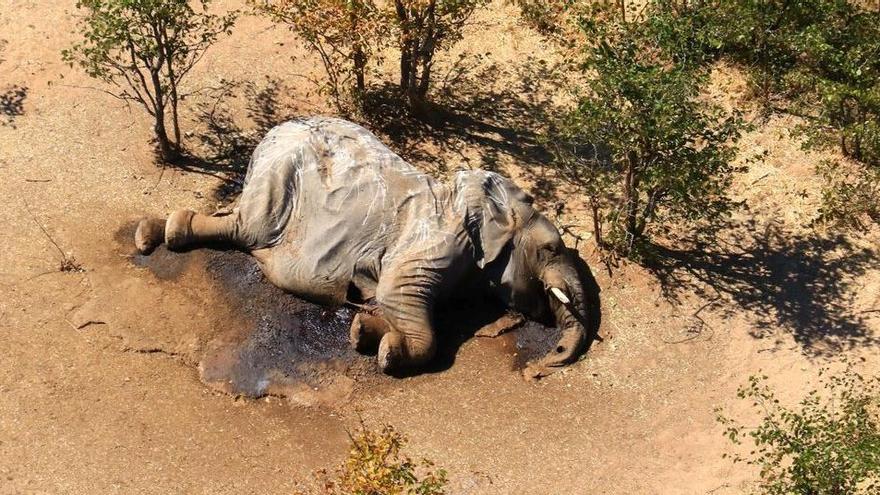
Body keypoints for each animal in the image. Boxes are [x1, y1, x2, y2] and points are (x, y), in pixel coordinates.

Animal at [136, 117, 600, 380]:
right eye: (551, 249)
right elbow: (398, 294)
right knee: (245, 228)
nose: (542, 368)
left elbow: (389, 302)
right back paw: (163, 233)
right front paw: (390, 354)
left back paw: (149, 233)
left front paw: (363, 331)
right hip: (279, 177)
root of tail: (272, 132)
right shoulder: (437, 241)